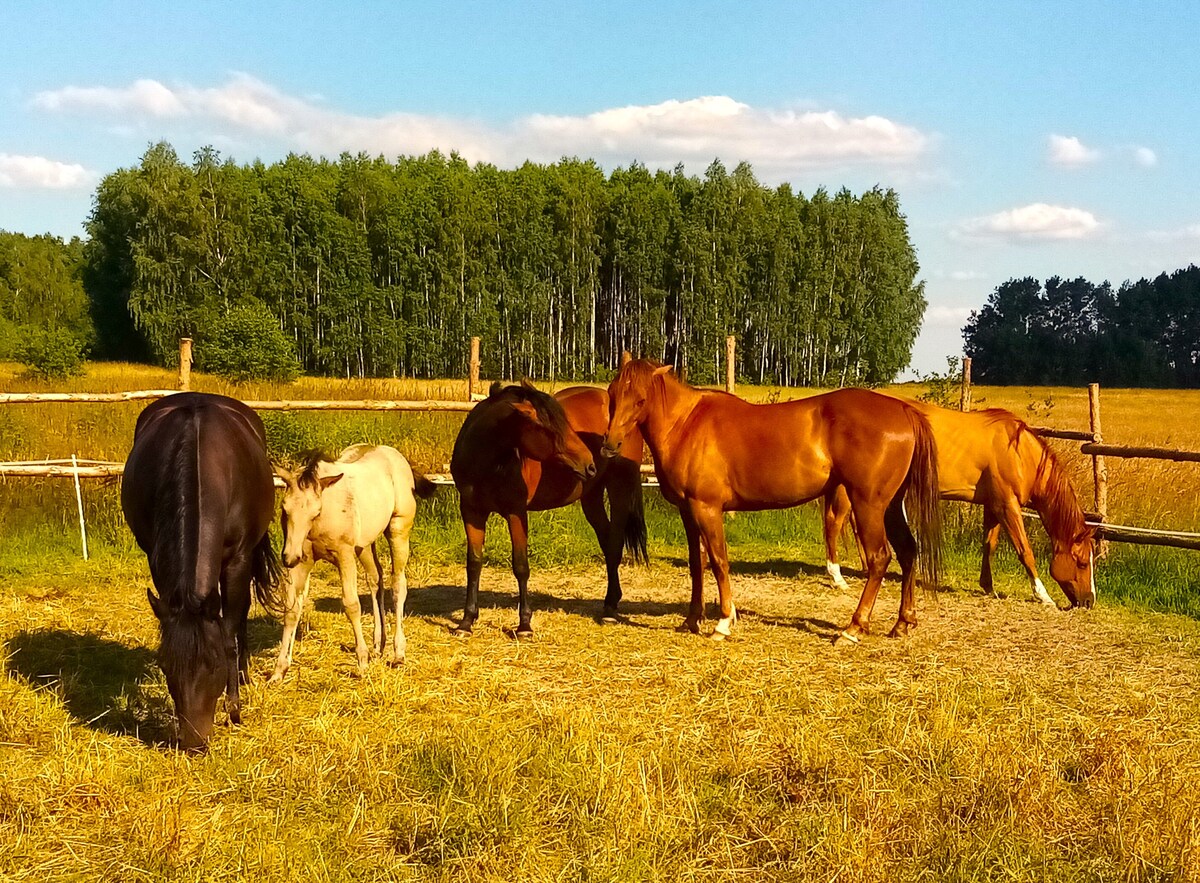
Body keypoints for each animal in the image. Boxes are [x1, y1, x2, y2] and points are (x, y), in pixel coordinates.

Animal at [123, 395, 279, 753]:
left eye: (213, 665)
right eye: (166, 666)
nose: (193, 743)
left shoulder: (238, 559)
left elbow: (230, 629)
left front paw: (234, 707)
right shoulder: (157, 560)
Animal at [271, 441, 436, 681]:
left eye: (316, 512)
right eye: (284, 508)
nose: (289, 557)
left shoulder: (344, 556)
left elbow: (352, 605)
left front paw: (362, 663)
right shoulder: (302, 561)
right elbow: (292, 609)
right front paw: (279, 670)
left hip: (398, 530)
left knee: (398, 585)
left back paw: (398, 654)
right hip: (365, 544)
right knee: (376, 580)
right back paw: (378, 646)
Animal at [451, 379, 648, 633]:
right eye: (551, 430)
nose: (589, 464)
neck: (484, 461)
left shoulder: (516, 512)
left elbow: (521, 566)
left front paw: (524, 624)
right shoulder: (471, 511)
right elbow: (474, 563)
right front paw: (466, 621)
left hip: (619, 489)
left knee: (614, 544)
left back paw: (610, 610)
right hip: (591, 496)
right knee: (607, 542)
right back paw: (610, 602)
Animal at [604, 357, 940, 643]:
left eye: (640, 399)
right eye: (612, 392)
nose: (610, 445)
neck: (686, 424)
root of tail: (903, 411)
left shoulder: (707, 508)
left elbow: (719, 562)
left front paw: (723, 623)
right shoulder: (688, 511)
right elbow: (697, 564)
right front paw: (691, 620)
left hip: (868, 504)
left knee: (880, 558)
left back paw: (853, 628)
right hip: (891, 506)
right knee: (908, 552)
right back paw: (903, 623)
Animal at [825, 400, 1099, 607]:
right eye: (1082, 563)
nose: (1089, 601)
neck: (1019, 453)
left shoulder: (993, 506)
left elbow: (989, 545)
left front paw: (988, 586)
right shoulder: (1007, 505)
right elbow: (1025, 551)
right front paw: (1043, 595)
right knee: (835, 524)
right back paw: (837, 576)